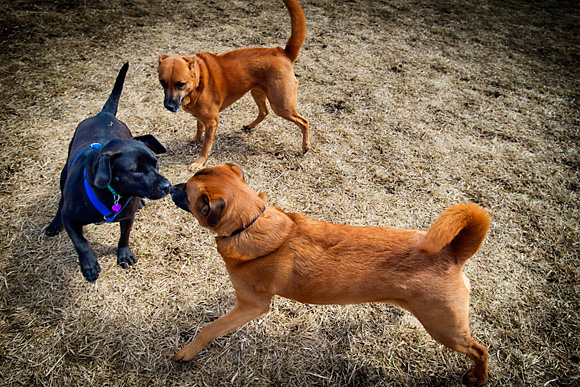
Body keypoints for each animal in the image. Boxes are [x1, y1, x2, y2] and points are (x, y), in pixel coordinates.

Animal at [47, 63, 170, 282]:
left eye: (156, 163)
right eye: (135, 171)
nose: (167, 186)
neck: (113, 194)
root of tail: (104, 115)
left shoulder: (128, 217)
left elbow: (124, 236)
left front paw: (124, 253)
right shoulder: (70, 219)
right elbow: (81, 243)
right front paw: (89, 265)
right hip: (64, 173)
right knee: (61, 198)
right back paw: (55, 222)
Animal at [156, 0, 310, 171]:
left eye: (180, 84)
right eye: (162, 82)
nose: (169, 106)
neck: (199, 82)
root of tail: (283, 52)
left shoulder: (212, 122)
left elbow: (205, 147)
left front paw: (198, 163)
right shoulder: (200, 117)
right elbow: (198, 127)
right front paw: (195, 139)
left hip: (281, 105)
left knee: (304, 122)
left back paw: (305, 147)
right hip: (257, 92)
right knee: (264, 111)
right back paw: (250, 126)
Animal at [170, 163, 492, 384]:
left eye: (187, 192)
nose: (169, 186)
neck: (250, 223)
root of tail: (452, 253)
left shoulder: (251, 306)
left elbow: (209, 328)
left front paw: (187, 352)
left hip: (445, 329)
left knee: (480, 350)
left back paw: (478, 377)